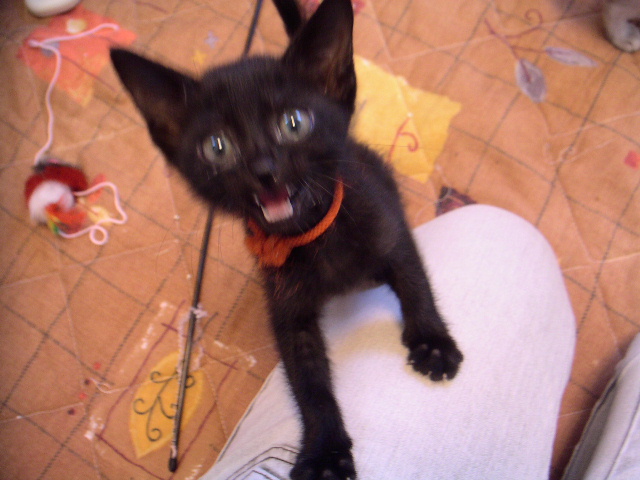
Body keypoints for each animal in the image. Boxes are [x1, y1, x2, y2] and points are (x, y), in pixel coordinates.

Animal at [110, 0, 462, 478]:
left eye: (293, 124)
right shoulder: (285, 304)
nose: (264, 169)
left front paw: (433, 340)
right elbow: (307, 380)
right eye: (217, 147)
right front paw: (325, 450)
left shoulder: (387, 224)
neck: (314, 235)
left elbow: (414, 280)